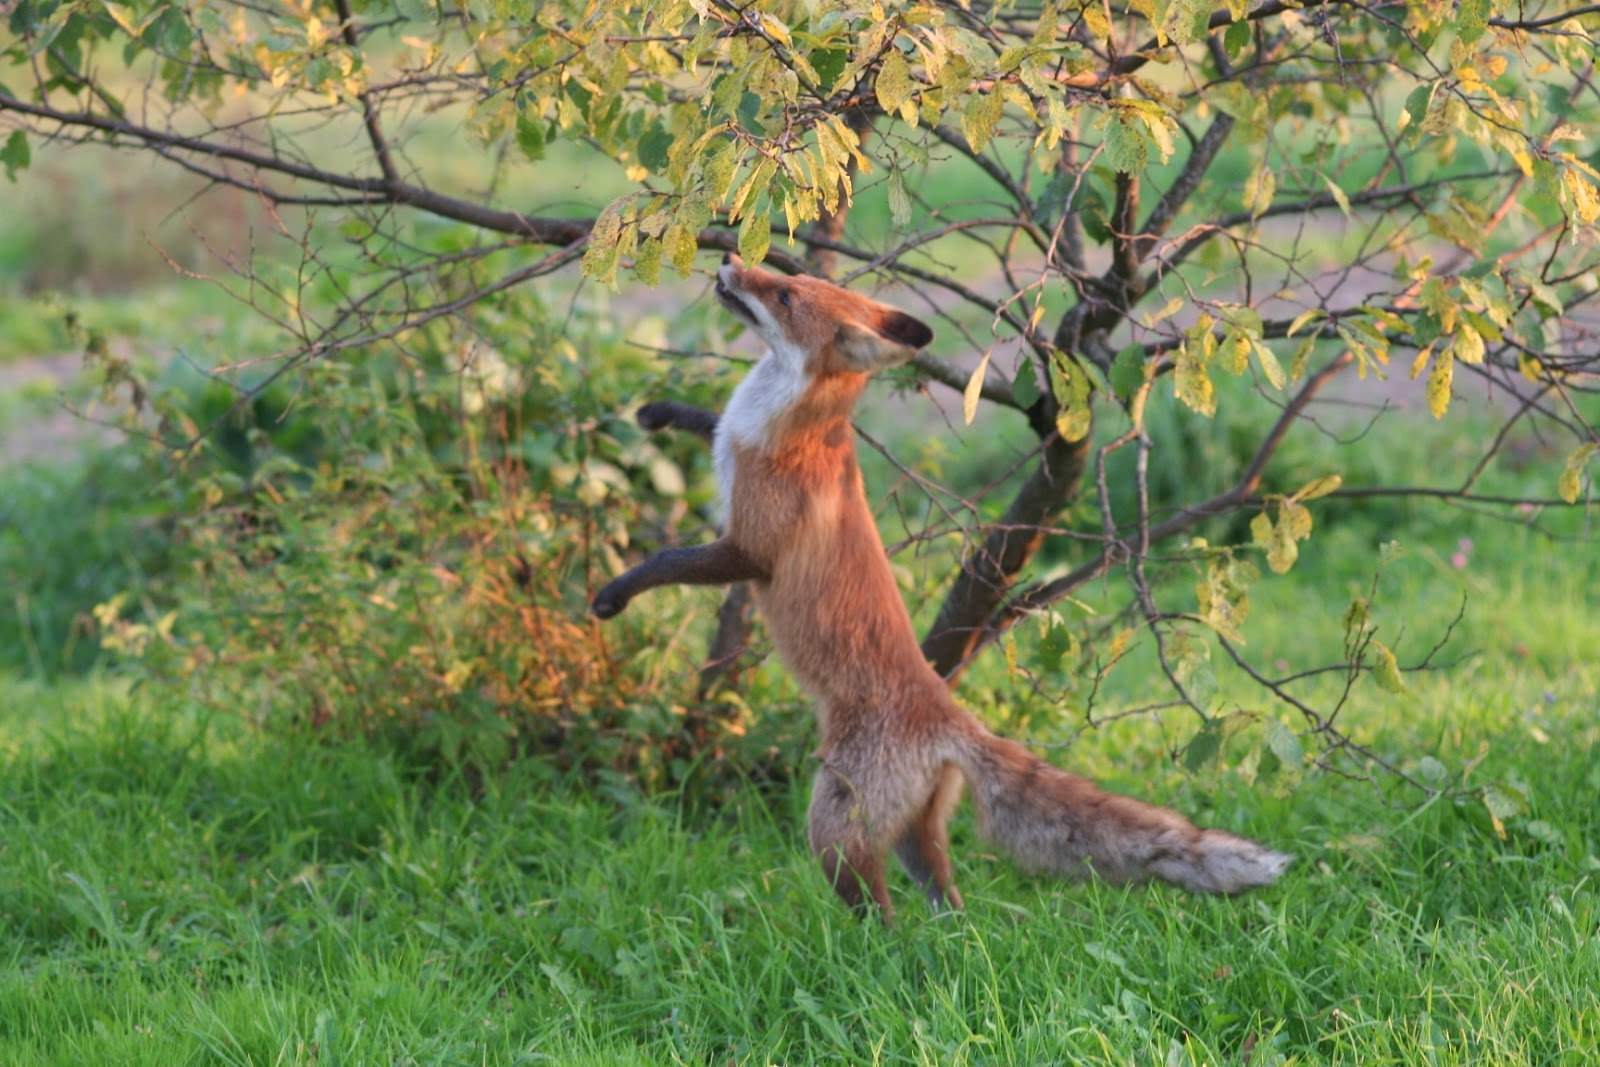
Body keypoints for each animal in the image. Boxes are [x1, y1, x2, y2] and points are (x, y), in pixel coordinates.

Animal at [588, 252, 1286, 921]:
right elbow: (705, 421)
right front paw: (659, 412)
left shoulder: (750, 549)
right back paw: (943, 940)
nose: (731, 258)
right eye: (789, 275)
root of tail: (951, 714)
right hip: (910, 833)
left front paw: (613, 595)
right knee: (946, 902)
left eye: (784, 295)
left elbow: (668, 558)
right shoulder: (728, 446)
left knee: (878, 909)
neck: (780, 425)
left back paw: (865, 952)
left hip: (834, 824)